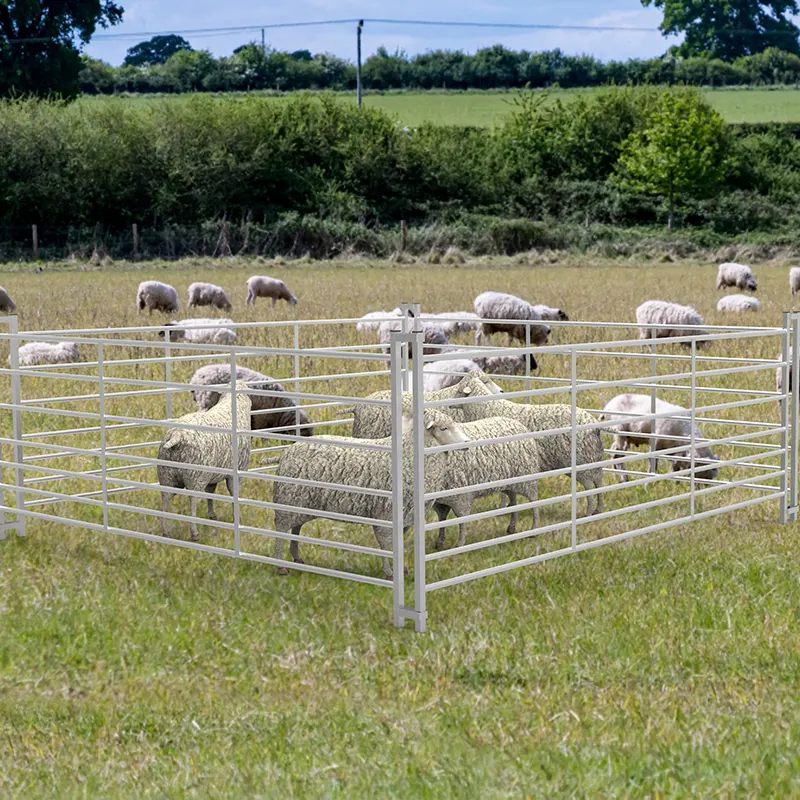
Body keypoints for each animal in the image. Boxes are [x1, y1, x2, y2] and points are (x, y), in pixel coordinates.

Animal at [157, 383, 252, 541]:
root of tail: (177, 435)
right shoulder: (237, 472)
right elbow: (234, 493)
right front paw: (236, 517)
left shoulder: (212, 474)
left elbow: (210, 493)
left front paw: (212, 515)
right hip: (195, 476)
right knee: (193, 500)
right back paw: (194, 532)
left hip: (167, 476)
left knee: (165, 500)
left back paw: (166, 532)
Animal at [272, 408, 469, 577]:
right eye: (443, 428)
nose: (468, 443)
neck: (408, 455)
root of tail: (288, 451)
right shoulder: (385, 513)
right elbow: (386, 544)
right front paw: (390, 573)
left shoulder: (405, 516)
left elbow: (396, 544)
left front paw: (401, 569)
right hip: (288, 501)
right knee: (281, 530)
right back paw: (281, 566)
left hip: (302, 503)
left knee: (295, 529)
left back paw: (296, 558)